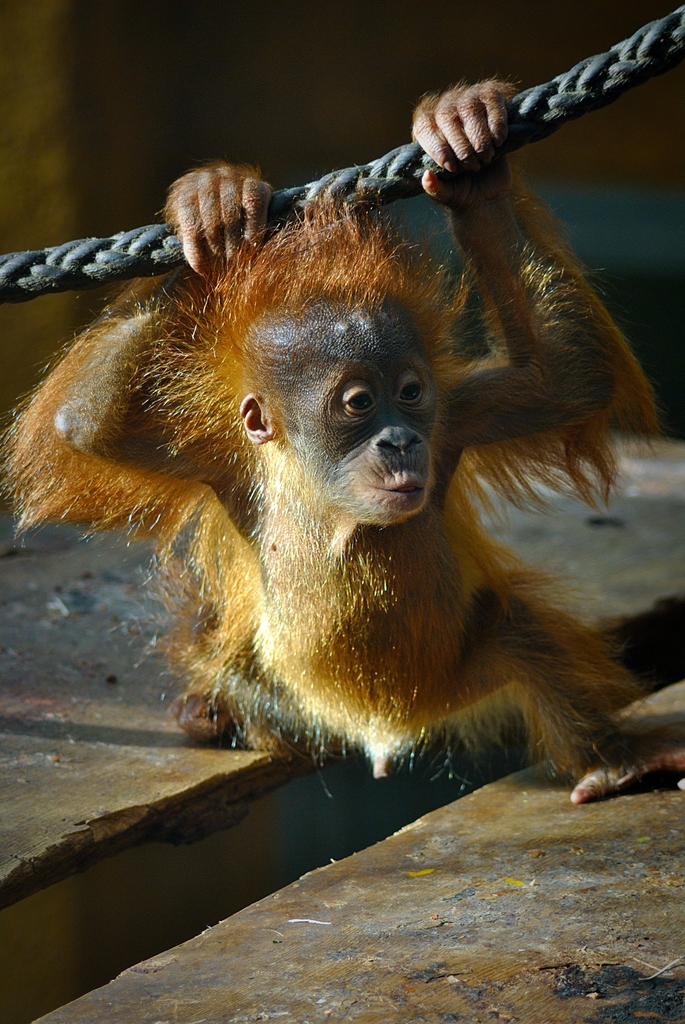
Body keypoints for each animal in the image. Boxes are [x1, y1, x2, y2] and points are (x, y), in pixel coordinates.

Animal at [5, 81, 685, 804]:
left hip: (463, 672)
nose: (399, 441)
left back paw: (612, 762)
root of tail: (380, 732)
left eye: (410, 392)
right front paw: (209, 208)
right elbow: (84, 427)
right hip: (294, 702)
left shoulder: (456, 422)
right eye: (358, 403)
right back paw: (207, 712)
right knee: (239, 677)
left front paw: (468, 153)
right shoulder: (218, 464)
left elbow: (564, 378)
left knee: (524, 637)